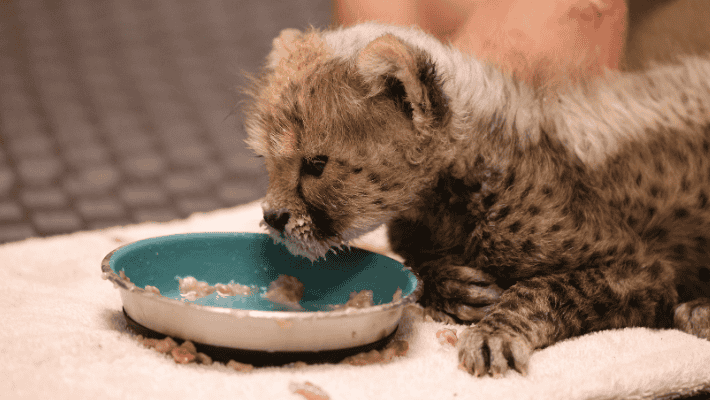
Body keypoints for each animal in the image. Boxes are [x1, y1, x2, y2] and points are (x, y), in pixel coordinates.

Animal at [243, 22, 710, 377]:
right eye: (268, 161)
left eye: (316, 164)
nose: (273, 216)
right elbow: (423, 264)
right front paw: (451, 285)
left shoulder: (643, 270)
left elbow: (549, 287)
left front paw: (494, 332)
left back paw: (697, 311)